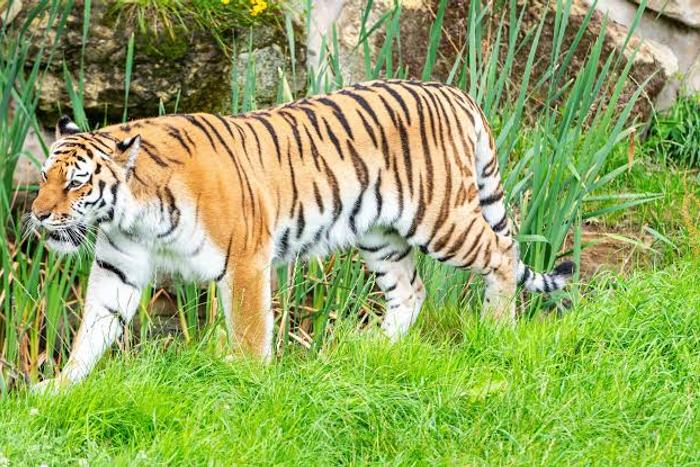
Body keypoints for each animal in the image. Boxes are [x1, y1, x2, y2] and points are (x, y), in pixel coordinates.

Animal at [29, 79, 574, 391]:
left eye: (76, 183)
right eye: (44, 177)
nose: (36, 215)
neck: (132, 214)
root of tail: (455, 92)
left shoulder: (244, 260)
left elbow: (250, 332)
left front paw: (245, 387)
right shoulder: (116, 268)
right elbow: (92, 332)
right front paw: (57, 390)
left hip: (440, 217)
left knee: (503, 251)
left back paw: (498, 328)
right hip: (378, 234)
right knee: (412, 290)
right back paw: (372, 349)